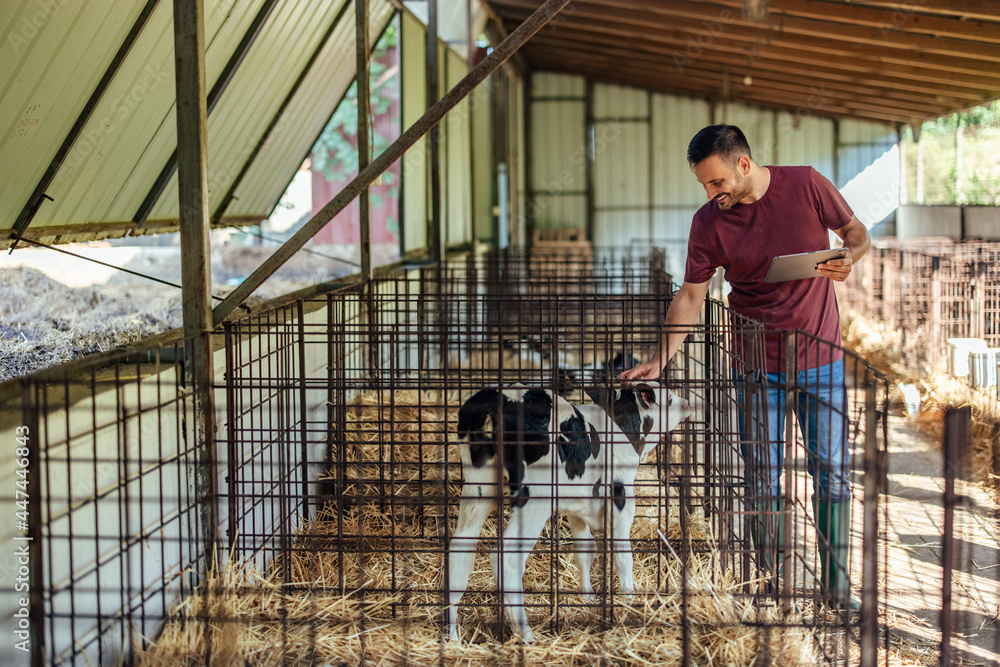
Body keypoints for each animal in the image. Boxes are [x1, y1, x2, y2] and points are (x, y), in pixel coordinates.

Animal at [448, 384, 696, 644]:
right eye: (670, 399)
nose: (688, 402)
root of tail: (500, 396)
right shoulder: (621, 496)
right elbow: (622, 554)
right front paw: (629, 598)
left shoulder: (578, 506)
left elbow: (585, 551)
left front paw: (587, 597)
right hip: (534, 500)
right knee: (505, 558)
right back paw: (525, 634)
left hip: (477, 491)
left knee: (458, 554)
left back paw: (453, 636)